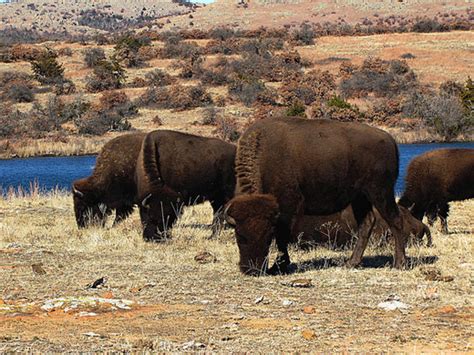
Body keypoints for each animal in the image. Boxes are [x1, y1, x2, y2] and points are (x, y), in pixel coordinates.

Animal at [224, 117, 410, 276]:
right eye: (239, 235)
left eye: (267, 234)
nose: (252, 269)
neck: (264, 155)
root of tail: (390, 140)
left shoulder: (289, 206)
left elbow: (282, 237)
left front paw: (279, 266)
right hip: (360, 198)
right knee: (367, 224)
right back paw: (351, 263)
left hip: (380, 192)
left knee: (396, 220)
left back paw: (399, 263)